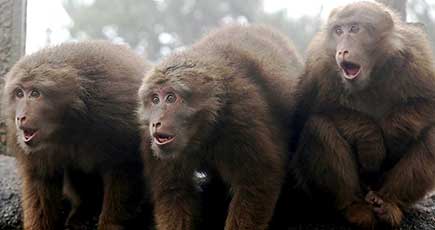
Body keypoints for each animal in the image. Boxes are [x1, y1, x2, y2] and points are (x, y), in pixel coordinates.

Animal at [2, 40, 151, 229]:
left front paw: (111, 223)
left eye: (35, 93)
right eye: (19, 93)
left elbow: (125, 167)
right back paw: (84, 209)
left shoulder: (114, 108)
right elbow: (41, 179)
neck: (67, 124)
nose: (20, 117)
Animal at [137, 24, 304, 229]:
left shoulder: (242, 117)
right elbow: (174, 192)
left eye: (170, 98)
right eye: (154, 99)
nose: (156, 122)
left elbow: (257, 182)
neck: (202, 132)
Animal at [292, 1, 435, 228]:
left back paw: (388, 203)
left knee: (432, 136)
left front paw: (396, 132)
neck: (372, 78)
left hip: (381, 181)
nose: (342, 51)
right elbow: (308, 112)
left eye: (354, 28)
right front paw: (370, 141)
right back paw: (354, 208)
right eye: (338, 31)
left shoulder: (416, 59)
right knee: (317, 127)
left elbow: (428, 102)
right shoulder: (320, 68)